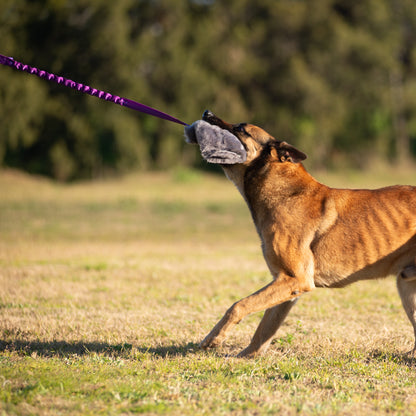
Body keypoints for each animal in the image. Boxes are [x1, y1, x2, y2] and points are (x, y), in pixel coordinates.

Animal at [184, 110, 416, 358]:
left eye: (240, 129)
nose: (206, 113)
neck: (283, 192)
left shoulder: (295, 279)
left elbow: (238, 306)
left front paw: (214, 338)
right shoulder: (286, 285)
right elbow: (264, 329)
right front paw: (245, 358)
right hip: (406, 285)